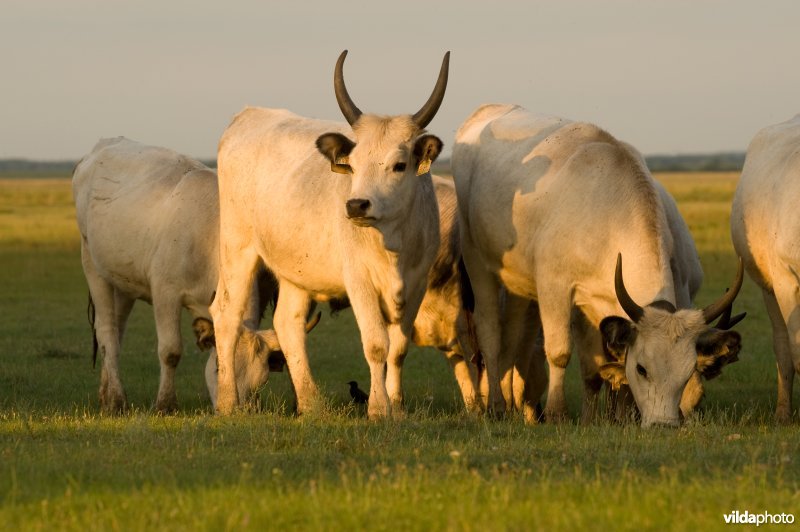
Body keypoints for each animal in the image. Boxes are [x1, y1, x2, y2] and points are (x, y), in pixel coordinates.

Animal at [72, 139, 284, 414]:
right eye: (219, 368)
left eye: (262, 380)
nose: (238, 410)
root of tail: (105, 144)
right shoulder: (165, 293)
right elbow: (170, 351)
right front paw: (165, 404)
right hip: (93, 264)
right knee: (107, 333)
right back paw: (117, 400)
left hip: (123, 281)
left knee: (116, 333)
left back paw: (106, 394)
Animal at [209, 51, 450, 416]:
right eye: (351, 164)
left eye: (399, 165)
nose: (356, 205)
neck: (393, 243)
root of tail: (249, 114)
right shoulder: (359, 281)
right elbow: (377, 344)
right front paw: (379, 408)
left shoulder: (417, 283)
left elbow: (398, 348)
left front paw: (397, 406)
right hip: (237, 246)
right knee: (226, 315)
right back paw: (227, 402)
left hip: (295, 269)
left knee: (288, 323)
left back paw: (311, 403)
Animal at [456, 104, 744, 428]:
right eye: (642, 368)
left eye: (687, 374)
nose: (663, 424)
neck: (609, 219)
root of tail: (488, 110)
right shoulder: (554, 287)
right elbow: (560, 352)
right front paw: (557, 413)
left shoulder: (596, 301)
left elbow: (596, 368)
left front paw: (596, 419)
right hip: (476, 260)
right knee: (490, 330)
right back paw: (495, 405)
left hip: (518, 283)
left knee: (513, 334)